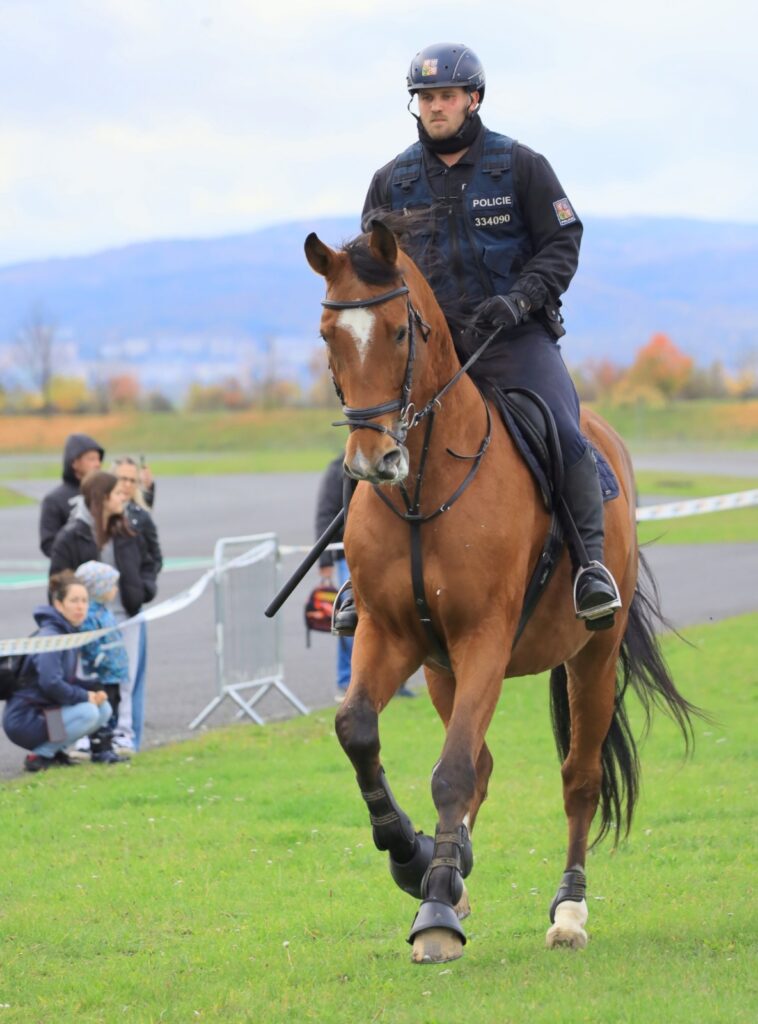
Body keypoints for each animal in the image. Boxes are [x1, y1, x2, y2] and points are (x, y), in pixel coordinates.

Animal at [304, 219, 698, 964]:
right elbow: (357, 730)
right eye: (328, 334)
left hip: (591, 658)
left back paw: (566, 911)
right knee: (484, 765)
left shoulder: (484, 636)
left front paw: (432, 905)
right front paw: (412, 857)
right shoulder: (391, 636)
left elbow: (452, 771)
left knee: (579, 779)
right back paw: (451, 869)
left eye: (399, 331)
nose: (374, 461)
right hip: (440, 672)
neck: (423, 488)